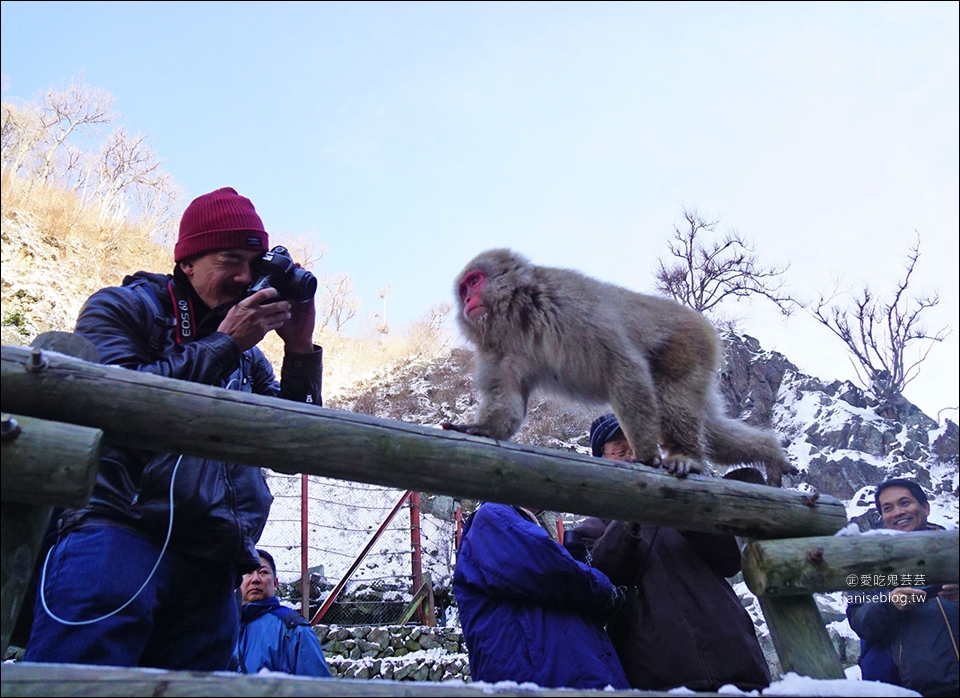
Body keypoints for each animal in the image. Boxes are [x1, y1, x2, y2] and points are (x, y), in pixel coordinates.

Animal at [446, 247, 800, 486]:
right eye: (464, 290)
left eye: (475, 281)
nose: (467, 302)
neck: (520, 315)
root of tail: (704, 325)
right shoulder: (498, 351)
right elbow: (507, 399)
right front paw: (483, 428)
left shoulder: (571, 306)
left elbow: (624, 366)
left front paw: (644, 454)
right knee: (714, 431)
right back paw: (769, 452)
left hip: (690, 344)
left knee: (672, 397)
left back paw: (688, 457)